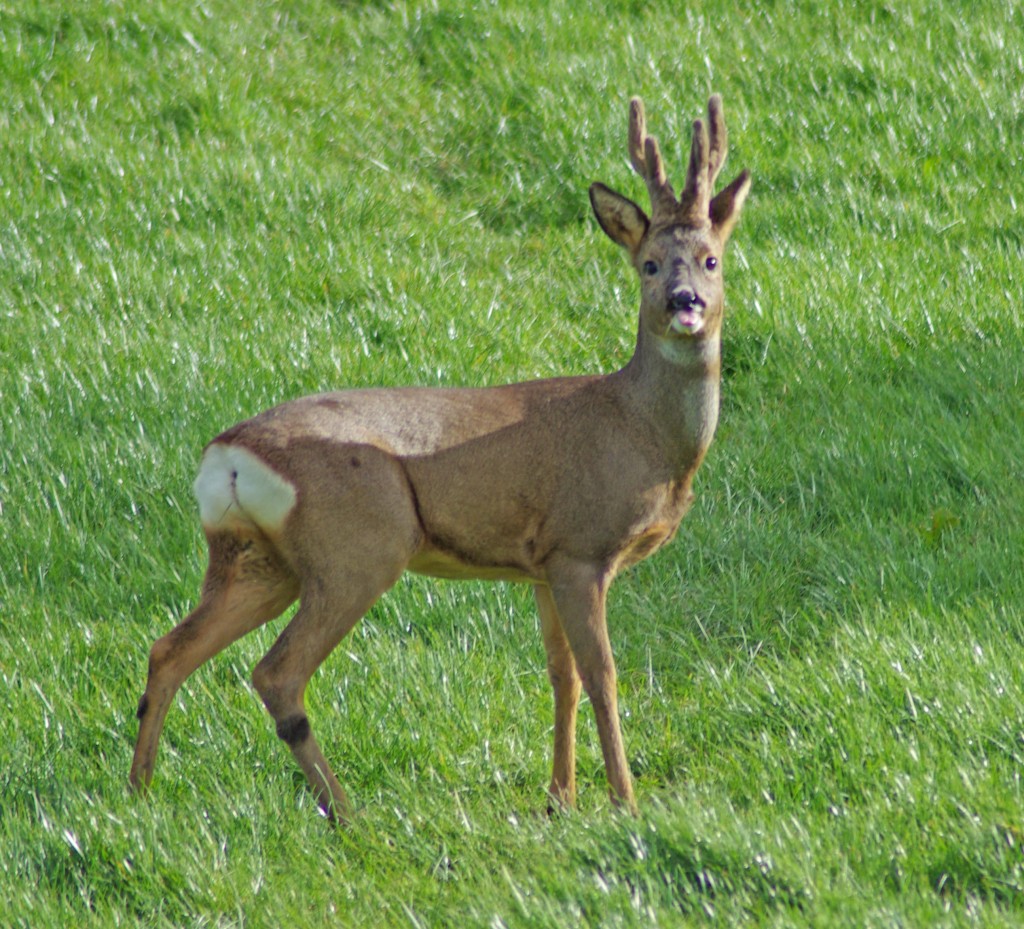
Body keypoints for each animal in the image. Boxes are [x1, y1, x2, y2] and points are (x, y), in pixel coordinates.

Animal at [129, 93, 750, 822]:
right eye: (649, 264)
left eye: (711, 260)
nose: (686, 304)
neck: (644, 433)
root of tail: (225, 455)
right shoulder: (581, 546)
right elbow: (602, 675)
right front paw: (623, 801)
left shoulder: (539, 564)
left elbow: (560, 676)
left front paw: (559, 799)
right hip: (360, 545)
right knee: (276, 672)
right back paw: (345, 812)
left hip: (258, 560)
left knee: (170, 649)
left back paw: (138, 795)